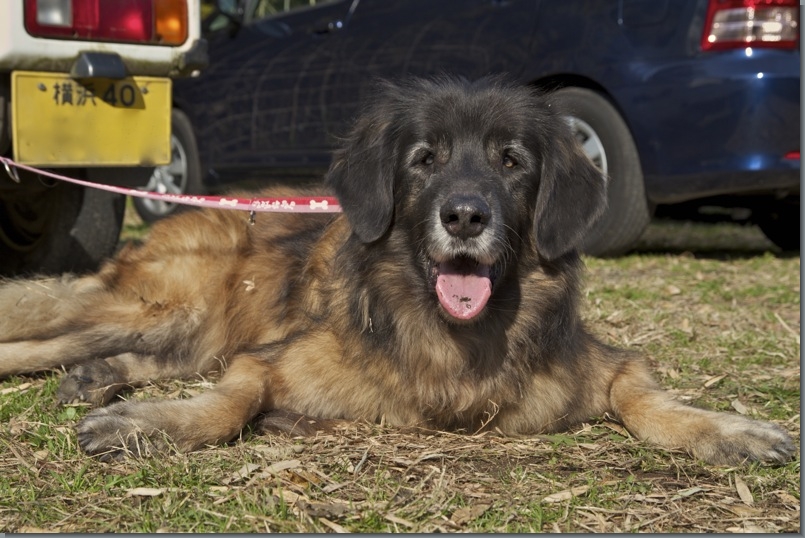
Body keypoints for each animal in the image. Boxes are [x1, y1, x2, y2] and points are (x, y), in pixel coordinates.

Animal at [0, 74, 796, 460]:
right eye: (424, 159)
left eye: (512, 161)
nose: (465, 216)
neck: (454, 337)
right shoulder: (274, 359)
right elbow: (231, 402)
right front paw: (155, 424)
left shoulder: (600, 362)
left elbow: (643, 396)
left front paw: (725, 429)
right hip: (155, 306)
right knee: (46, 324)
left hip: (185, 333)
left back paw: (99, 377)